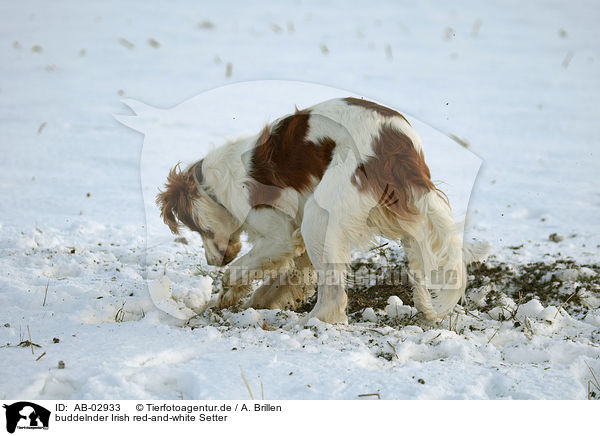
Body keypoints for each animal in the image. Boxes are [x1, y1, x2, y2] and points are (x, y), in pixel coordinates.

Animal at [155, 99, 488, 324]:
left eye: (199, 229)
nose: (212, 261)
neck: (219, 181)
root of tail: (396, 146)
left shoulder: (279, 235)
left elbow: (236, 272)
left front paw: (229, 294)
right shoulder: (297, 240)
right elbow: (286, 276)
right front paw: (259, 299)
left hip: (320, 215)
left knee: (334, 296)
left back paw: (310, 322)